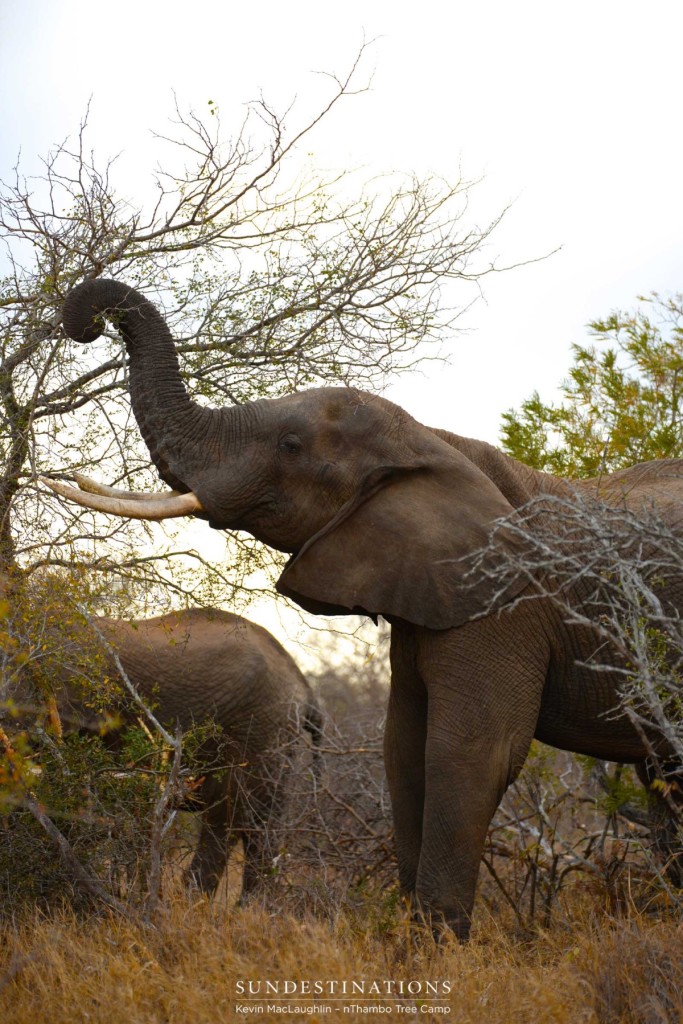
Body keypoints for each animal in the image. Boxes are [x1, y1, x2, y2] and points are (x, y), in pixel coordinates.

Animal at [46, 278, 683, 937]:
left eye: (290, 445)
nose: (86, 323)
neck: (431, 439)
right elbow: (403, 749)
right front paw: (410, 939)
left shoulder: (506, 604)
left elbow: (468, 752)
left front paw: (436, 946)